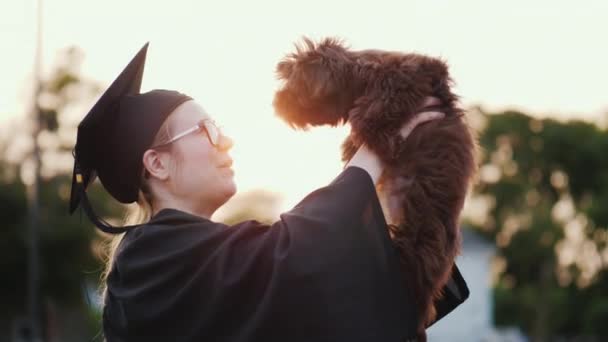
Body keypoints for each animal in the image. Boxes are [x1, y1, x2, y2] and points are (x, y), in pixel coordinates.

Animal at [274, 38, 478, 342]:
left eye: (293, 83)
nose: (276, 103)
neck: (362, 78)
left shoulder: (415, 74)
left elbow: (388, 97)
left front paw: (368, 125)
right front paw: (355, 141)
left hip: (418, 241)